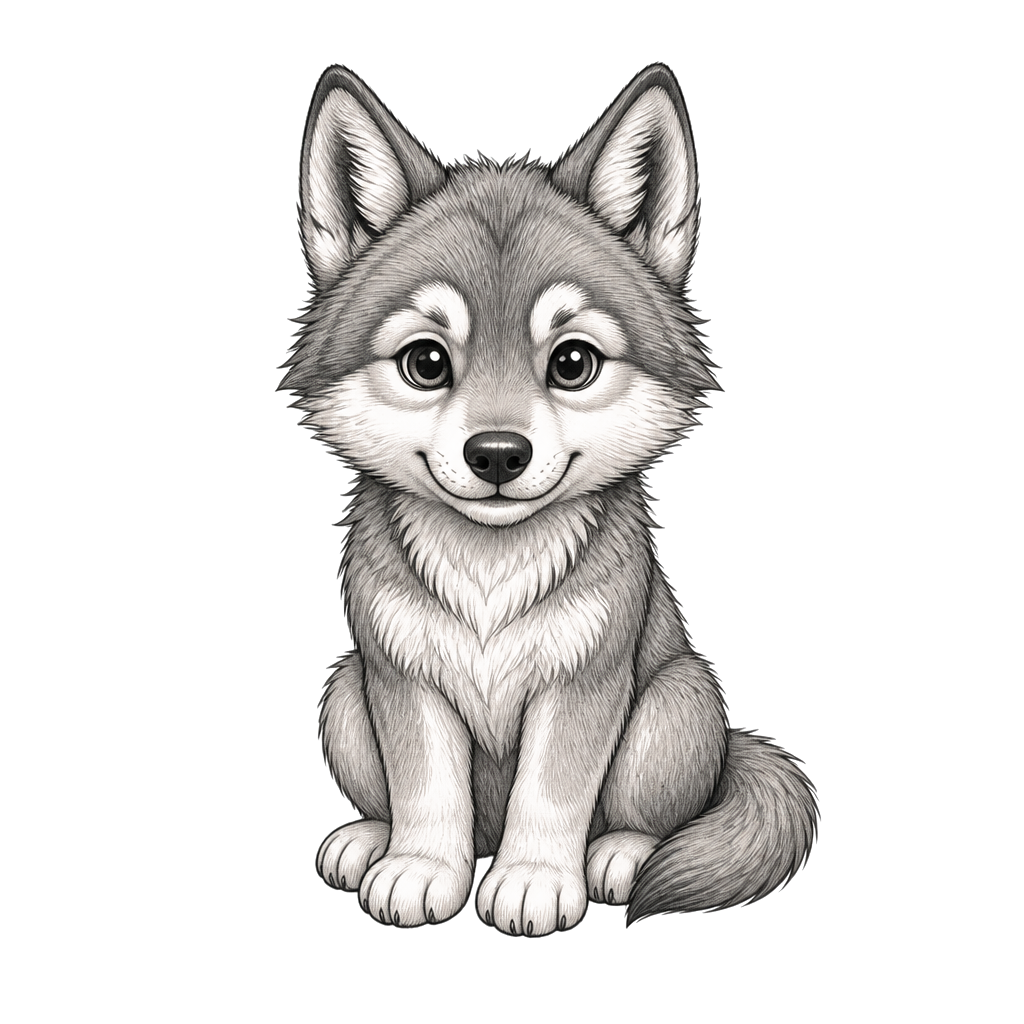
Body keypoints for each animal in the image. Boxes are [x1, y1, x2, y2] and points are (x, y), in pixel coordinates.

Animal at [281, 64, 817, 935]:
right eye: (426, 362)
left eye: (572, 363)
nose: (498, 454)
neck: (490, 568)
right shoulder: (401, 675)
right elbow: (426, 789)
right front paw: (419, 868)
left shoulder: (584, 683)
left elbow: (554, 792)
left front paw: (533, 880)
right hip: (342, 694)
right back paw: (369, 837)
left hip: (675, 701)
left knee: (650, 815)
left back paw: (621, 856)